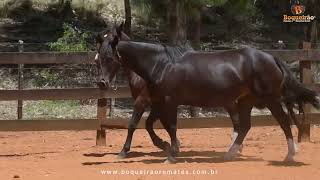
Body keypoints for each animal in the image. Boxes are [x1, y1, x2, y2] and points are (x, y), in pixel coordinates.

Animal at [103, 27, 320, 163]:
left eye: (108, 57)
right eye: (98, 55)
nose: (101, 82)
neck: (162, 64)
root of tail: (271, 57)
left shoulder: (166, 101)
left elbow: (166, 125)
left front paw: (171, 154)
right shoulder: (159, 102)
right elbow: (155, 125)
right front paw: (168, 147)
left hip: (271, 99)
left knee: (283, 122)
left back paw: (290, 155)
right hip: (245, 101)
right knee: (244, 126)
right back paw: (230, 154)